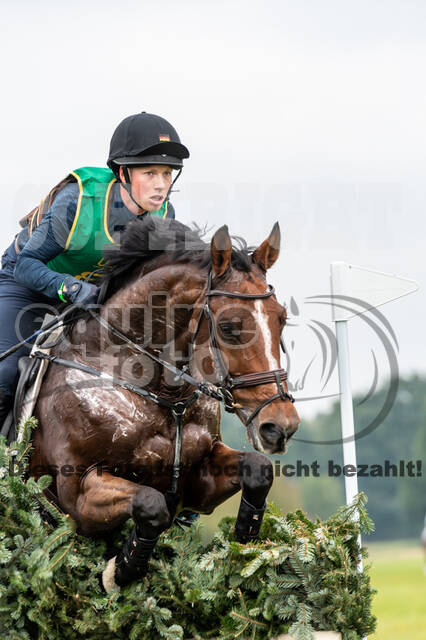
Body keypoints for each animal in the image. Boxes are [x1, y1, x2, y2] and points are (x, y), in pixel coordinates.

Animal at [27, 219, 300, 592]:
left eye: (281, 319)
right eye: (228, 327)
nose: (280, 426)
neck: (164, 396)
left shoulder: (196, 483)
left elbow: (259, 469)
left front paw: (246, 542)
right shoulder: (75, 495)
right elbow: (151, 503)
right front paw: (121, 569)